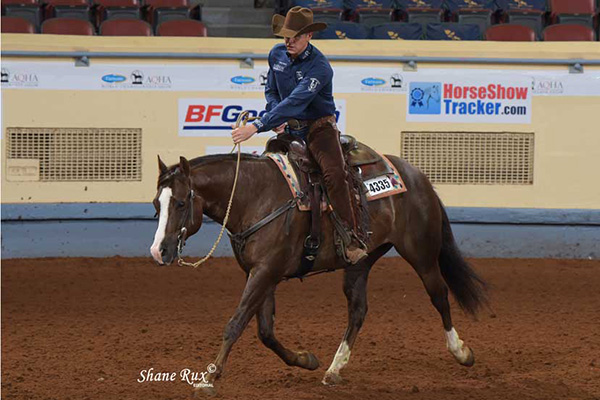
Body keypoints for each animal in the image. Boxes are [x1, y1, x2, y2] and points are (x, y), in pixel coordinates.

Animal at [150, 148, 488, 396]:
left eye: (180, 203)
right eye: (156, 203)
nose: (158, 251)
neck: (256, 196)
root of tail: (418, 176)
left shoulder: (265, 272)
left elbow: (235, 324)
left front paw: (208, 379)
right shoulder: (261, 274)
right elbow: (265, 331)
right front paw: (306, 359)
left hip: (421, 253)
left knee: (439, 295)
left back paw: (461, 352)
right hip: (361, 261)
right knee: (358, 309)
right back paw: (333, 369)